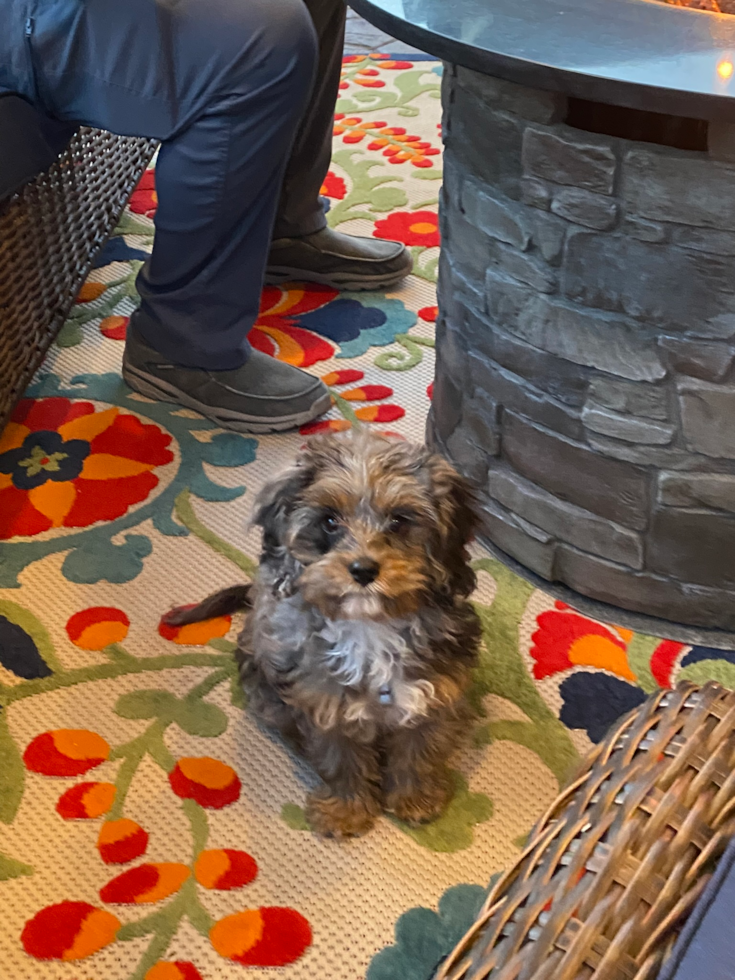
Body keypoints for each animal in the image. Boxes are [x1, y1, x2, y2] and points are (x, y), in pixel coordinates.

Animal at [165, 432, 484, 840]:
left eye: (399, 521)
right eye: (330, 521)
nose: (363, 570)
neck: (370, 627)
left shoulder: (433, 695)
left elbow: (420, 751)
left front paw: (415, 798)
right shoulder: (326, 703)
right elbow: (340, 759)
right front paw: (346, 811)